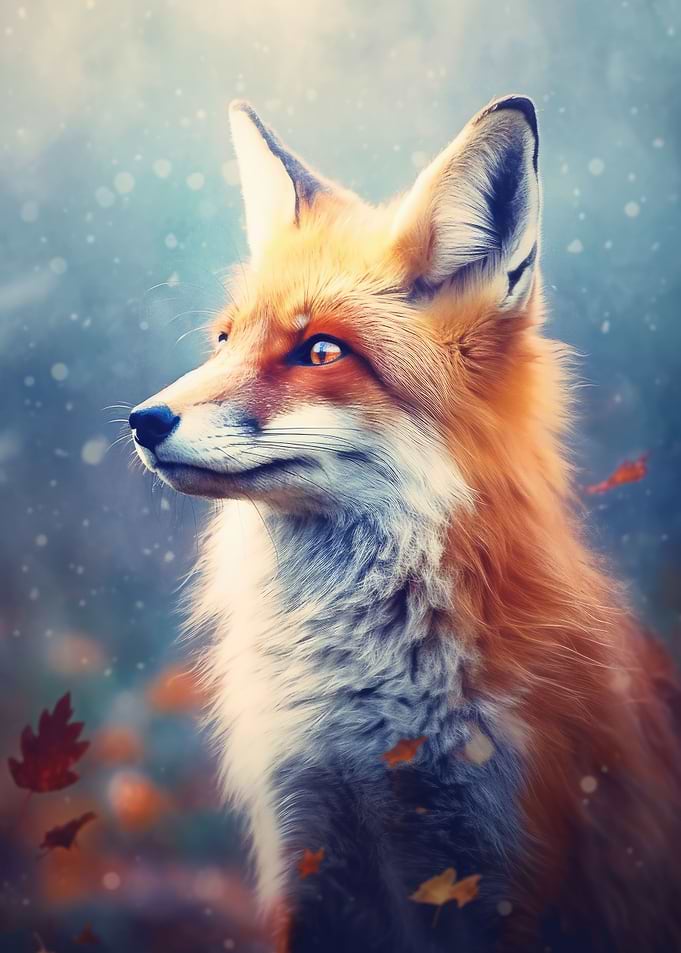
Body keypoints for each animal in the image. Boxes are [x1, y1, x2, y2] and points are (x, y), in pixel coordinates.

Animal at [129, 96, 681, 952]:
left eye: (321, 351)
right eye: (224, 340)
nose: (142, 419)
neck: (362, 715)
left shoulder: (504, 874)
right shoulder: (308, 856)